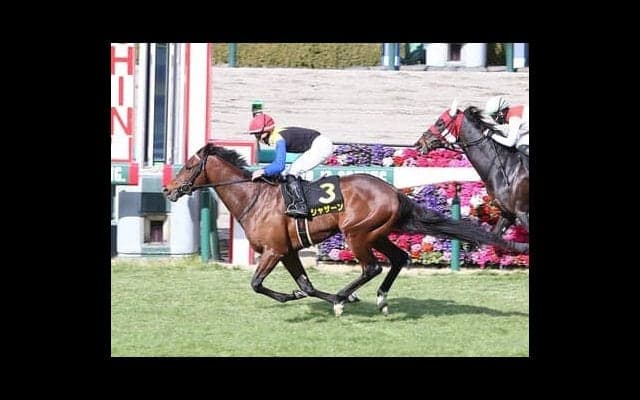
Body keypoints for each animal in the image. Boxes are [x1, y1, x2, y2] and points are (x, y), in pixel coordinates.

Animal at [163, 143, 529, 316]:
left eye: (189, 166)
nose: (169, 190)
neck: (254, 197)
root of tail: (393, 191)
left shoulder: (274, 250)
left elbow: (256, 284)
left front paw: (326, 298)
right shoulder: (288, 251)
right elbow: (307, 286)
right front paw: (303, 294)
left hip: (357, 234)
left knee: (372, 266)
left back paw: (344, 296)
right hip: (376, 233)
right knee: (399, 259)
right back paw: (378, 299)